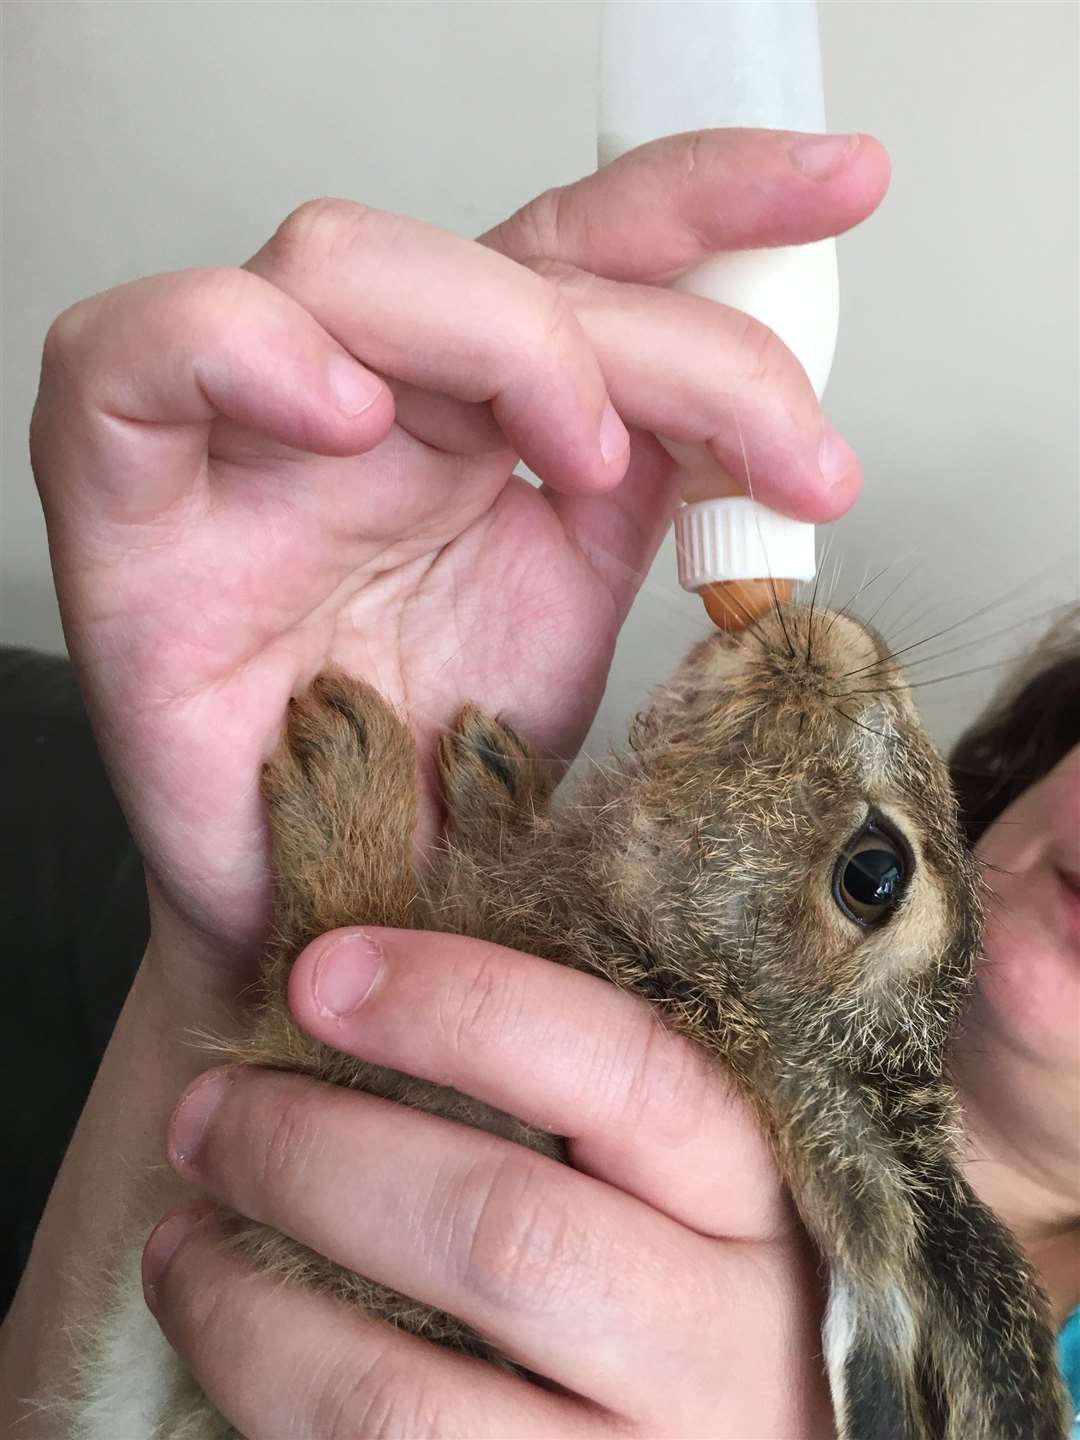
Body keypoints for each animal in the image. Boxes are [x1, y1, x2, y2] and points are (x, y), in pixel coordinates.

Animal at [80, 601, 1071, 1434]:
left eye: (875, 874)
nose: (853, 644)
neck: (685, 980)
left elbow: (325, 942)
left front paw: (345, 764)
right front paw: (494, 778)